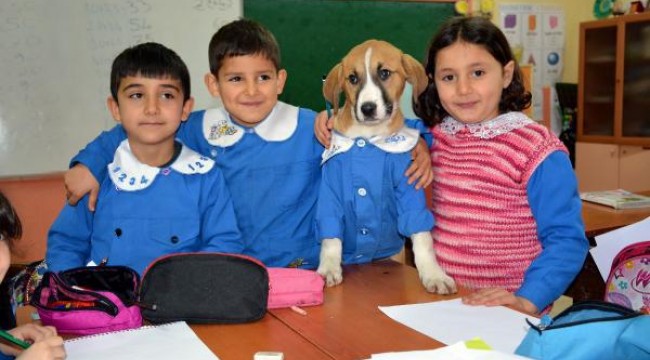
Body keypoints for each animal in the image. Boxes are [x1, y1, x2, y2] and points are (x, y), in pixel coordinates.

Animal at [316, 39, 454, 294]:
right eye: (352, 78)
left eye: (384, 73)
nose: (367, 108)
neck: (368, 138)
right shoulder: (330, 190)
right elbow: (330, 237)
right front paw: (328, 268)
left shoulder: (409, 187)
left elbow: (422, 237)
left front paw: (434, 274)